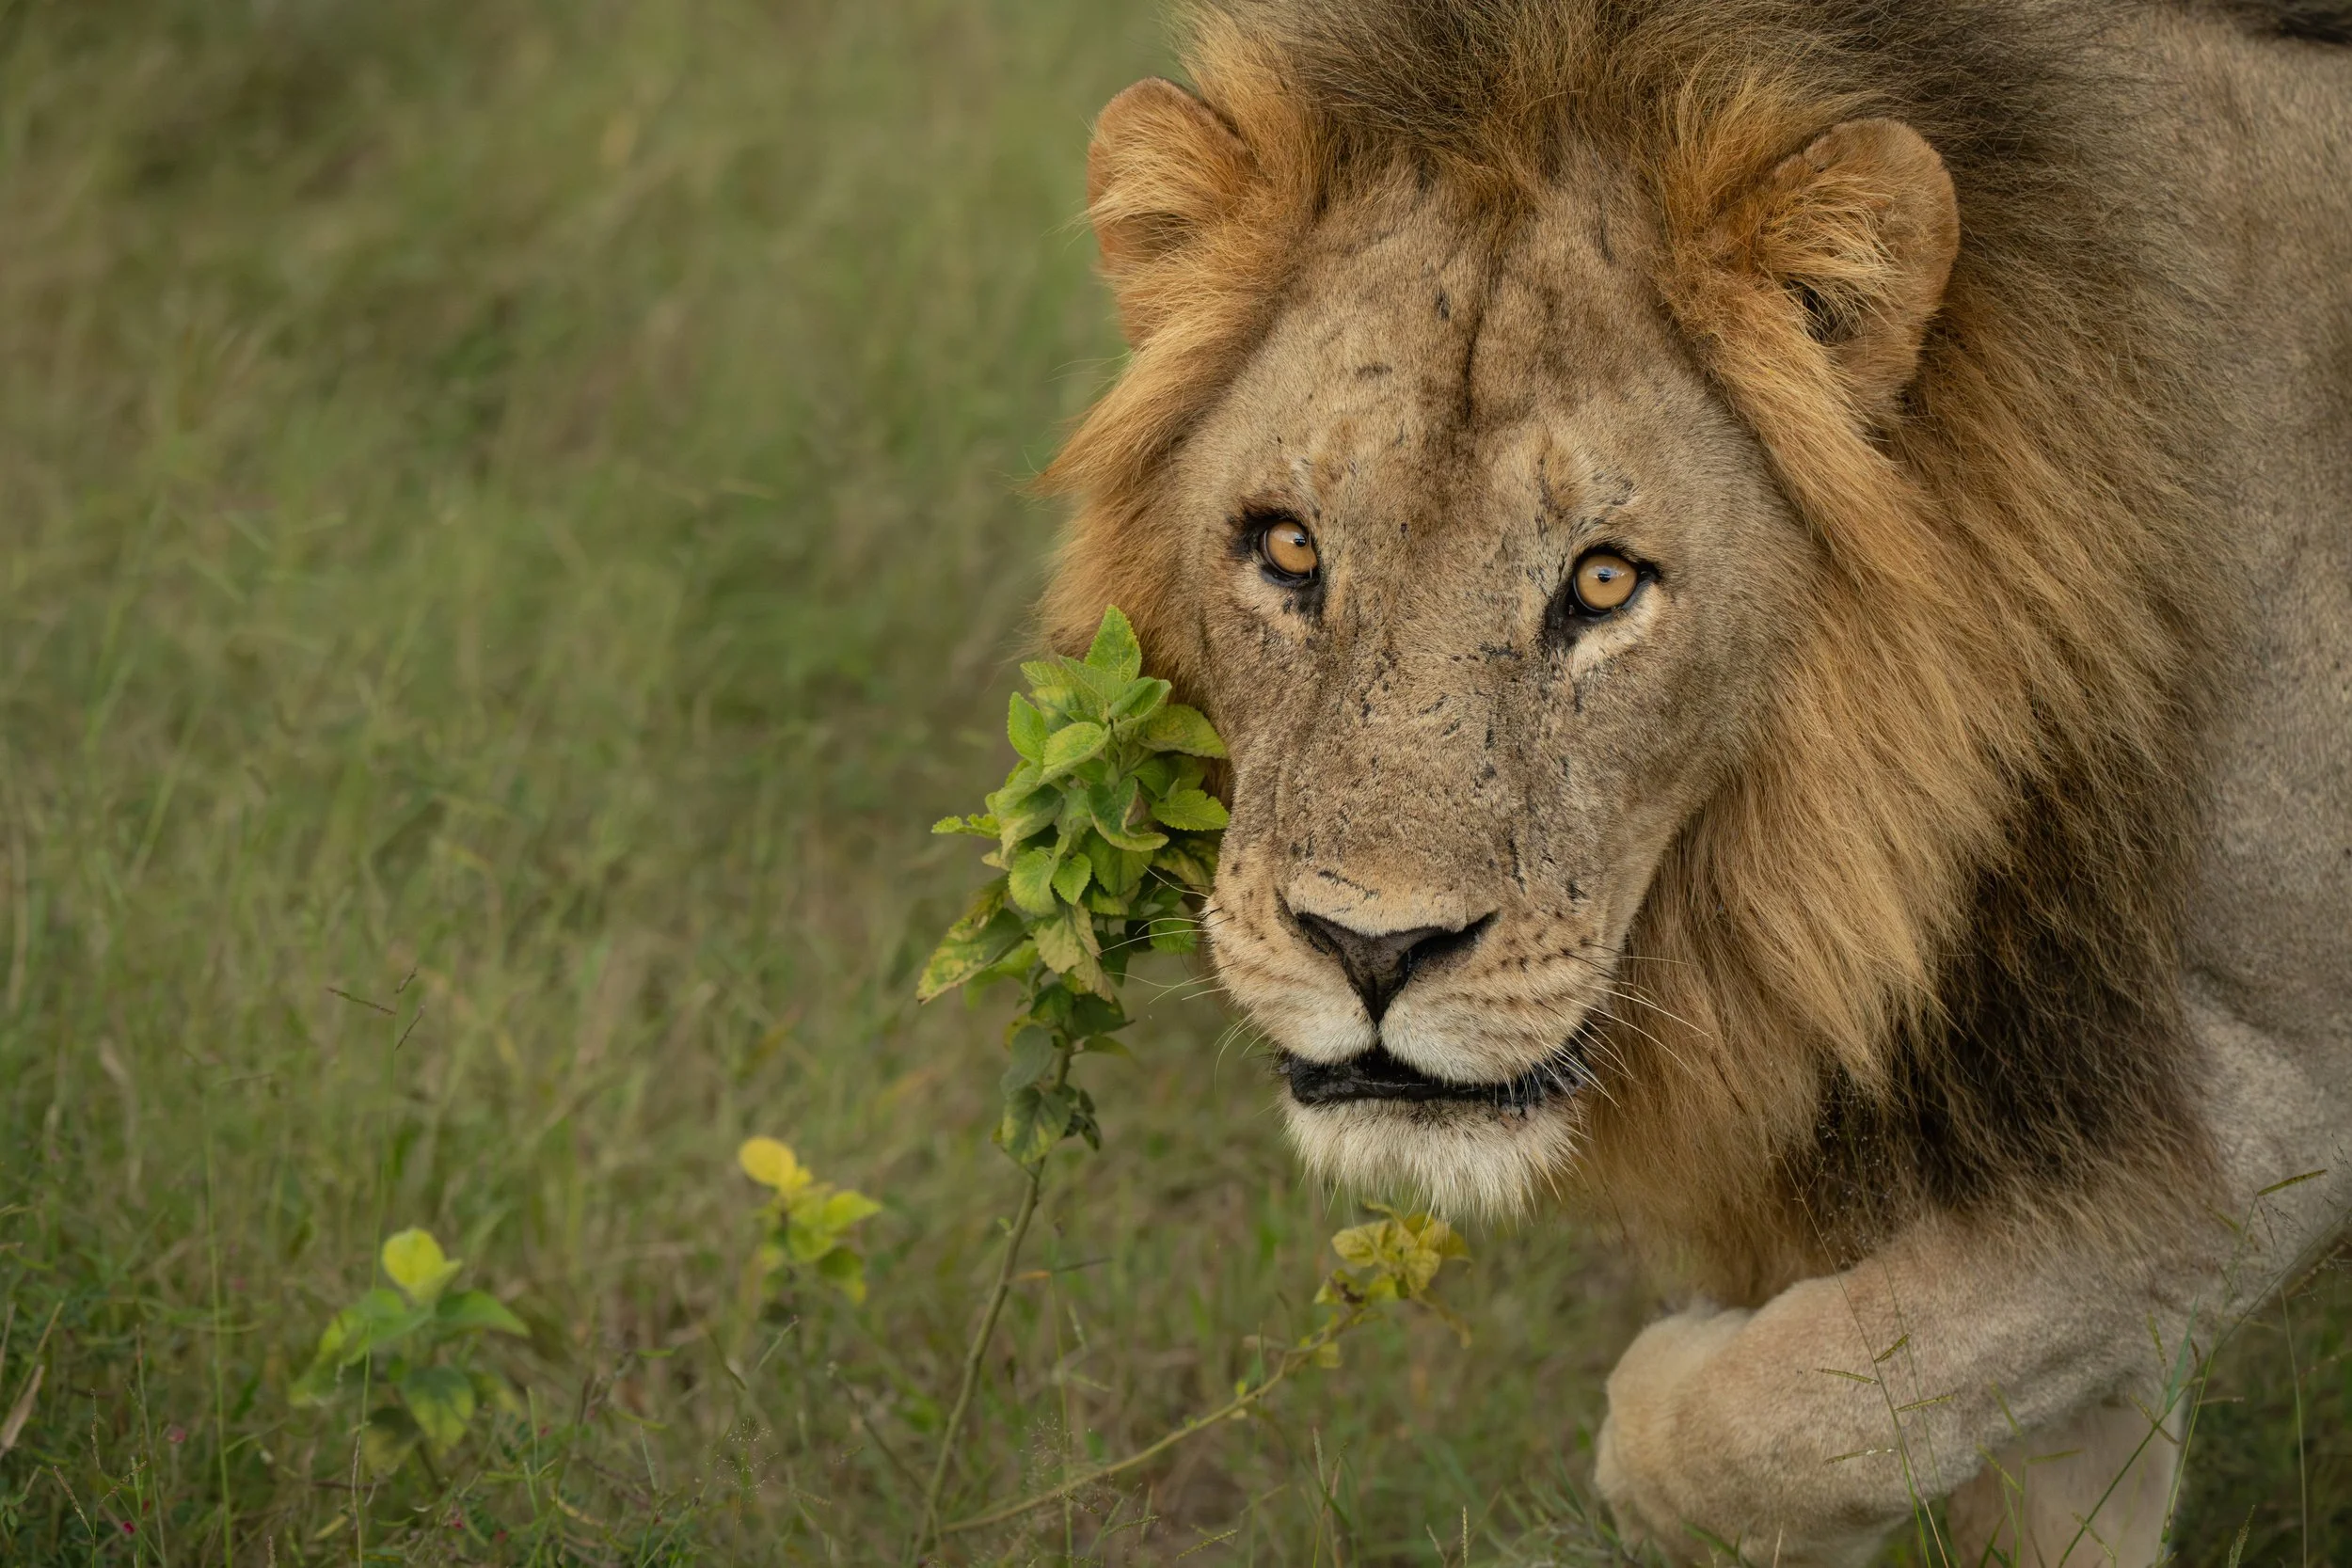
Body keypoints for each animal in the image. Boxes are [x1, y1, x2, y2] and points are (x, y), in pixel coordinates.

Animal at [1037, 0, 2351, 1561]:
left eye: (1605, 581)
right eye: (1289, 546)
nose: (1373, 947)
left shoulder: (2250, 1104)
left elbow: (1772, 1413)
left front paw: (1685, 1375)